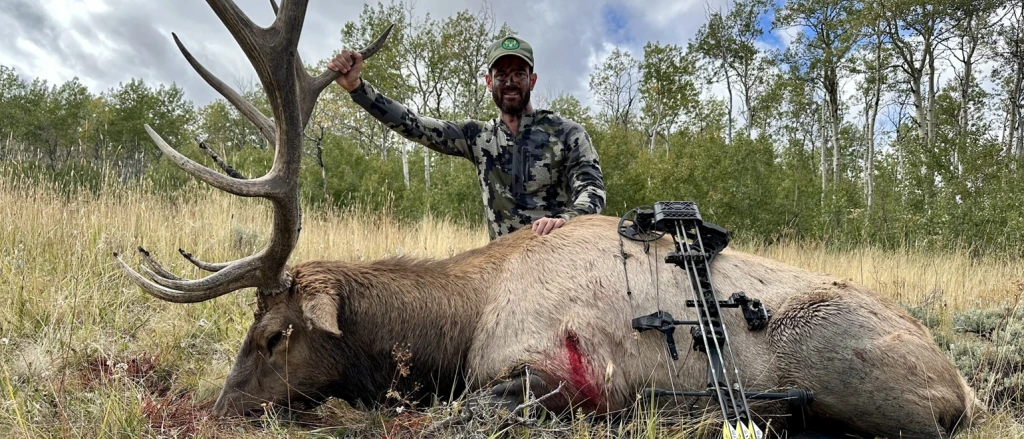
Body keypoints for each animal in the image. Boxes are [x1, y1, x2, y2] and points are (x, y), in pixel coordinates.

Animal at [114, 1, 986, 438]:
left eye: (272, 334)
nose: (218, 408)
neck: (456, 321)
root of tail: (964, 384)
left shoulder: (549, 372)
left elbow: (454, 408)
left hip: (861, 380)